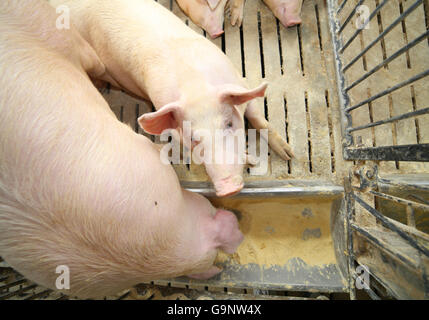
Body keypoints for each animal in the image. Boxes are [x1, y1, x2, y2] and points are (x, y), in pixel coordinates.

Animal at [48, 0, 292, 198]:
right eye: (193, 138)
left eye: (230, 124)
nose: (228, 187)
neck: (195, 86)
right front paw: (252, 159)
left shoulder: (239, 83)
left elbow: (259, 119)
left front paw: (288, 154)